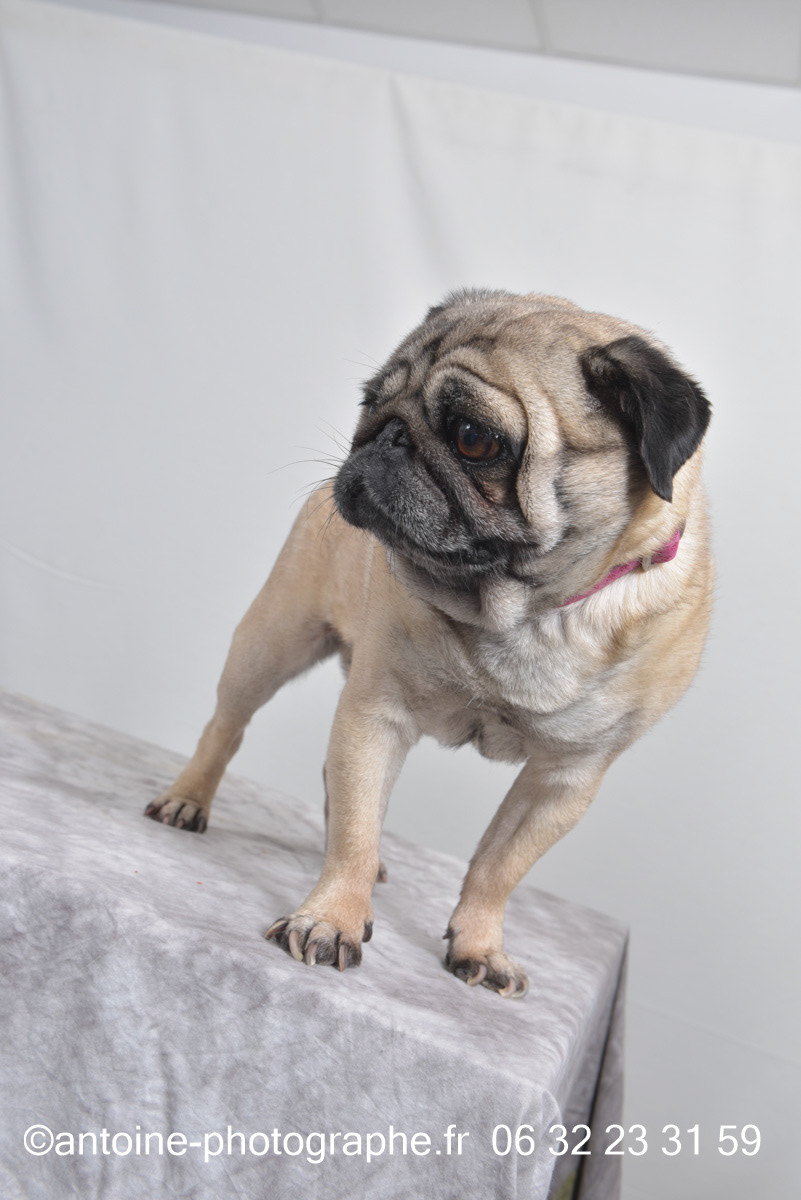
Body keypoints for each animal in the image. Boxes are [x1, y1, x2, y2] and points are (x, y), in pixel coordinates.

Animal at [145, 289, 712, 998]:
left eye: (474, 438)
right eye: (369, 401)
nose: (386, 436)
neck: (523, 612)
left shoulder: (563, 781)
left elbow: (498, 868)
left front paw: (480, 946)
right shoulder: (377, 715)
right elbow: (358, 831)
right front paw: (332, 918)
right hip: (271, 641)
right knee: (228, 726)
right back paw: (189, 800)